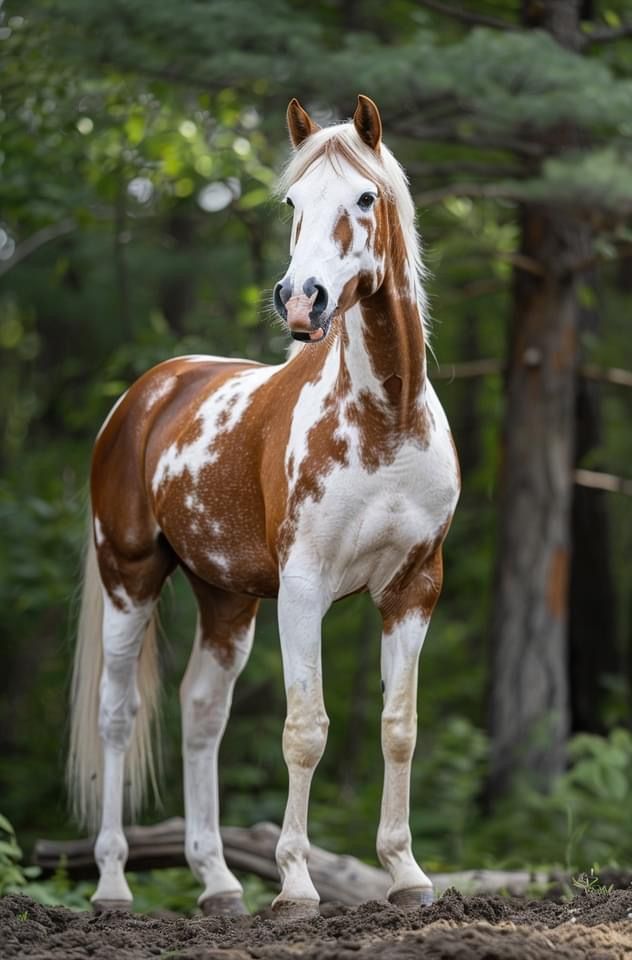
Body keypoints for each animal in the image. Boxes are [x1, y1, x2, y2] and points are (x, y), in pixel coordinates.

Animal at [68, 97, 460, 924]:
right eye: (290, 202)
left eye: (366, 197)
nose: (301, 299)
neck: (387, 420)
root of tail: (149, 392)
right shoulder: (305, 587)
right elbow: (305, 730)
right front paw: (296, 886)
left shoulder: (414, 587)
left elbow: (399, 728)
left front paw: (406, 875)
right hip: (129, 578)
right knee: (117, 713)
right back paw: (113, 884)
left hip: (226, 598)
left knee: (200, 712)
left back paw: (218, 882)